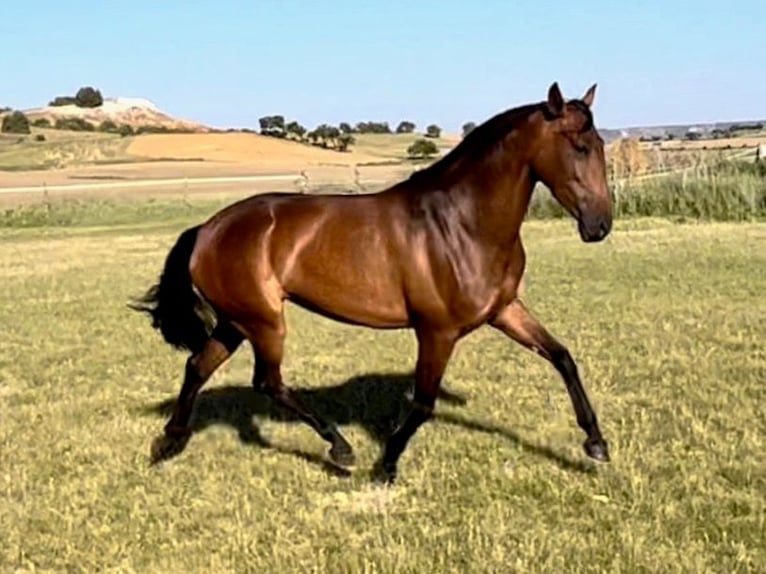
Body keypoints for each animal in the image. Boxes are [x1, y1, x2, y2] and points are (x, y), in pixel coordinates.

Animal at [130, 82, 612, 486]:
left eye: (601, 145)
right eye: (580, 146)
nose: (600, 226)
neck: (461, 223)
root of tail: (206, 230)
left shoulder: (505, 310)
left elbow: (562, 357)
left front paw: (596, 443)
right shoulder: (436, 332)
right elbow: (423, 403)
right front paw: (386, 465)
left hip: (236, 321)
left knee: (198, 366)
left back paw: (168, 442)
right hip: (264, 322)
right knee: (267, 382)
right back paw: (340, 448)